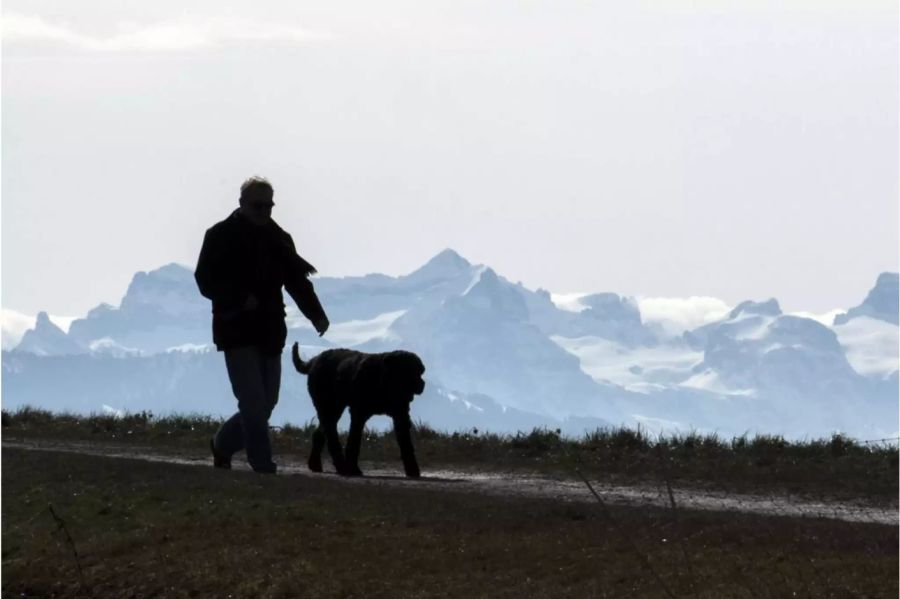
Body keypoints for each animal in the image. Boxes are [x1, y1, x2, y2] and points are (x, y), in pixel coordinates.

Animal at [292, 342, 426, 478]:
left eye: (420, 371)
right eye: (410, 370)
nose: (422, 384)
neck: (383, 379)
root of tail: (314, 361)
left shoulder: (400, 414)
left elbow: (406, 443)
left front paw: (413, 470)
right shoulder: (359, 413)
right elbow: (354, 440)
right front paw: (354, 469)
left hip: (333, 408)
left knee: (321, 432)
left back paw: (316, 464)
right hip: (328, 406)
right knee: (331, 434)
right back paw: (342, 467)